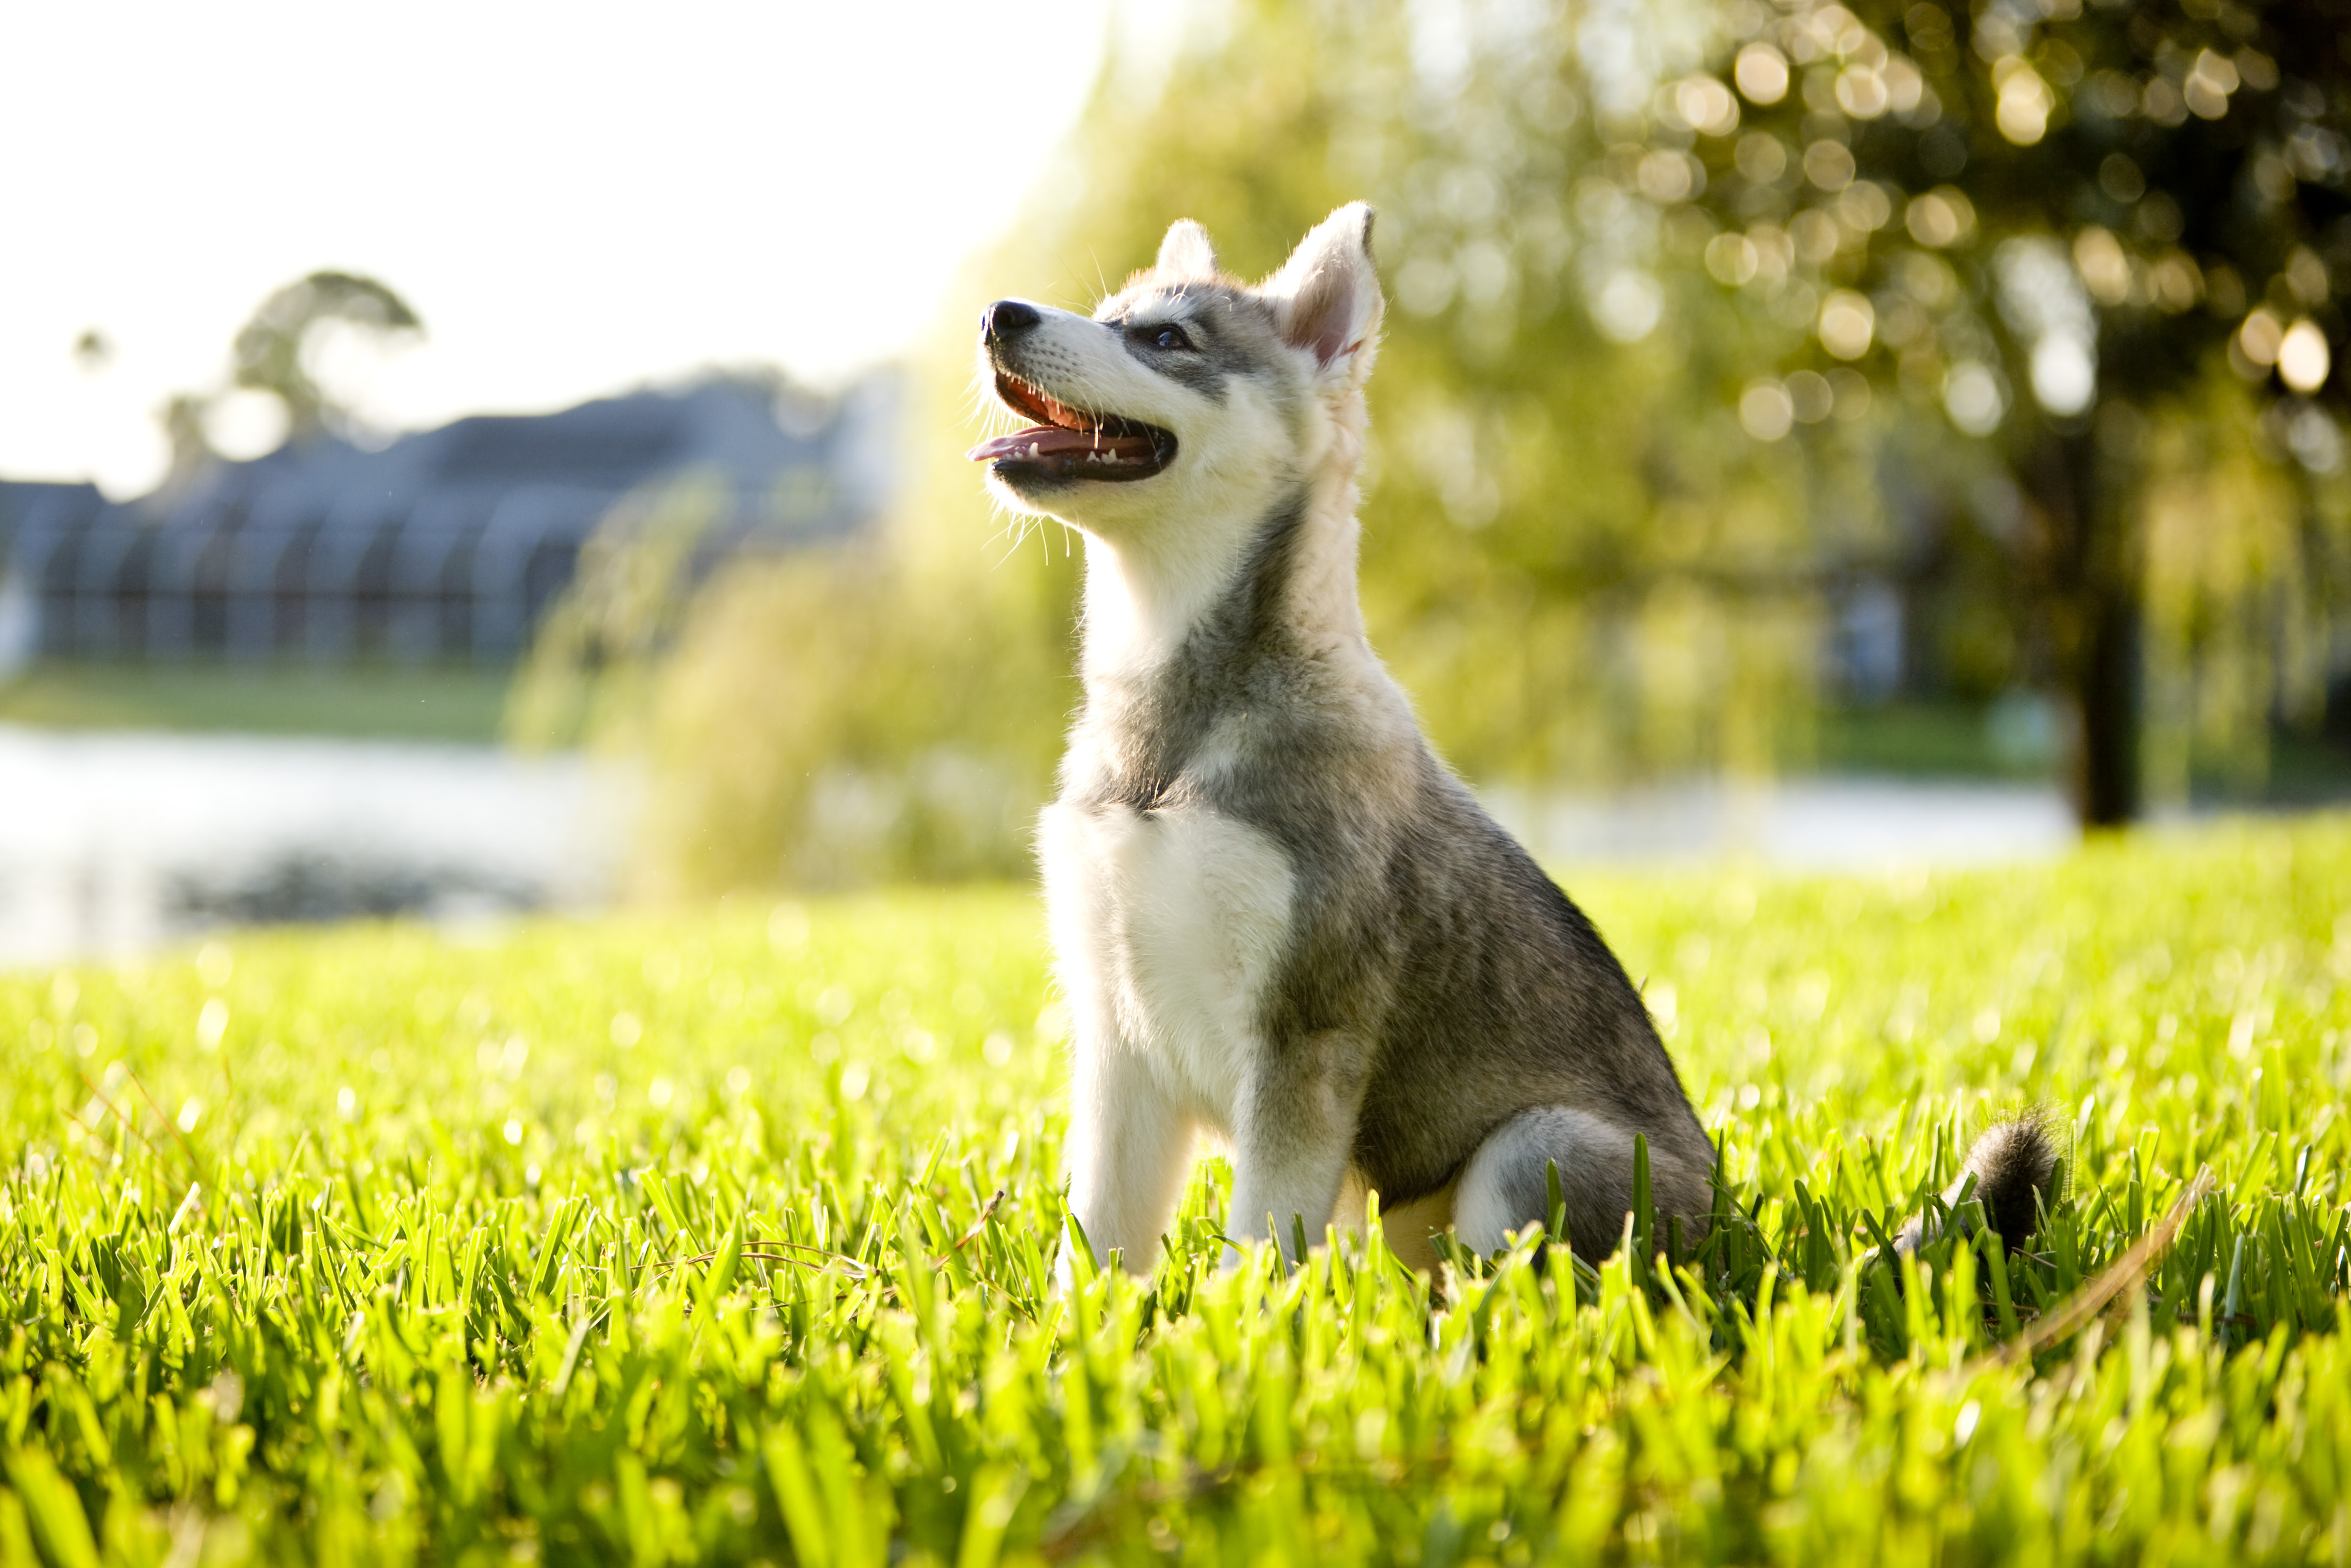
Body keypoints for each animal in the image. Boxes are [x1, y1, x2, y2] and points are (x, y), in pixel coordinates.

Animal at [964, 202, 2050, 1278]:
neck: (1171, 731)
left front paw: (1239, 1325)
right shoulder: (1117, 1038)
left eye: (1164, 339)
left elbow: (1261, 1250)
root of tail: (1746, 1250)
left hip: (1537, 1150)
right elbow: (1095, 1248)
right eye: (1114, 314)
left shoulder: (1304, 1037)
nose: (998, 313)